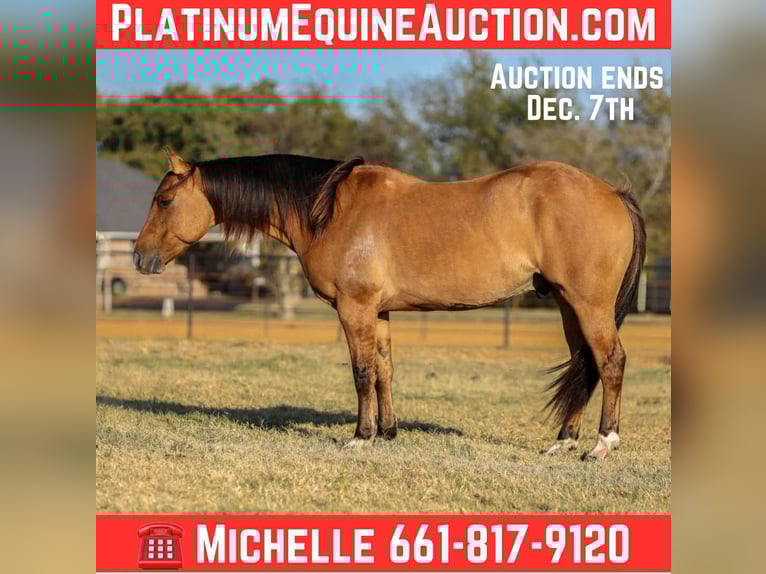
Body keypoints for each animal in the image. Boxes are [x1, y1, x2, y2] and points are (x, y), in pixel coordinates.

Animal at [134, 148, 645, 460]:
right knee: (584, 363)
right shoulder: (377, 311)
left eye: (164, 200)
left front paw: (360, 438)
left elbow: (361, 372)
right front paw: (388, 431)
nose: (140, 257)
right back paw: (563, 442)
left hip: (588, 304)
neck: (329, 210)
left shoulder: (354, 308)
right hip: (566, 304)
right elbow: (384, 370)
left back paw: (602, 443)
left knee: (611, 361)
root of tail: (612, 193)